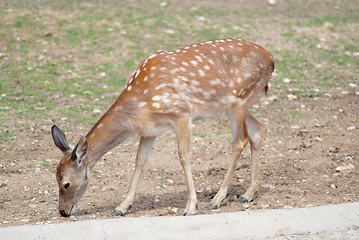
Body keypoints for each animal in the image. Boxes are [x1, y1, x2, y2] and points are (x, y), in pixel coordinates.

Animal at [51, 38, 276, 218]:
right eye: (55, 177)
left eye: (66, 183)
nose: (63, 211)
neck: (139, 106)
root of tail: (271, 60)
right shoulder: (149, 130)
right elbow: (140, 161)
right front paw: (122, 206)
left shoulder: (182, 113)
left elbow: (184, 156)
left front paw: (191, 207)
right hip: (235, 107)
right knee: (259, 130)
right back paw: (247, 194)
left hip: (240, 100)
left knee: (240, 141)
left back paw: (217, 199)